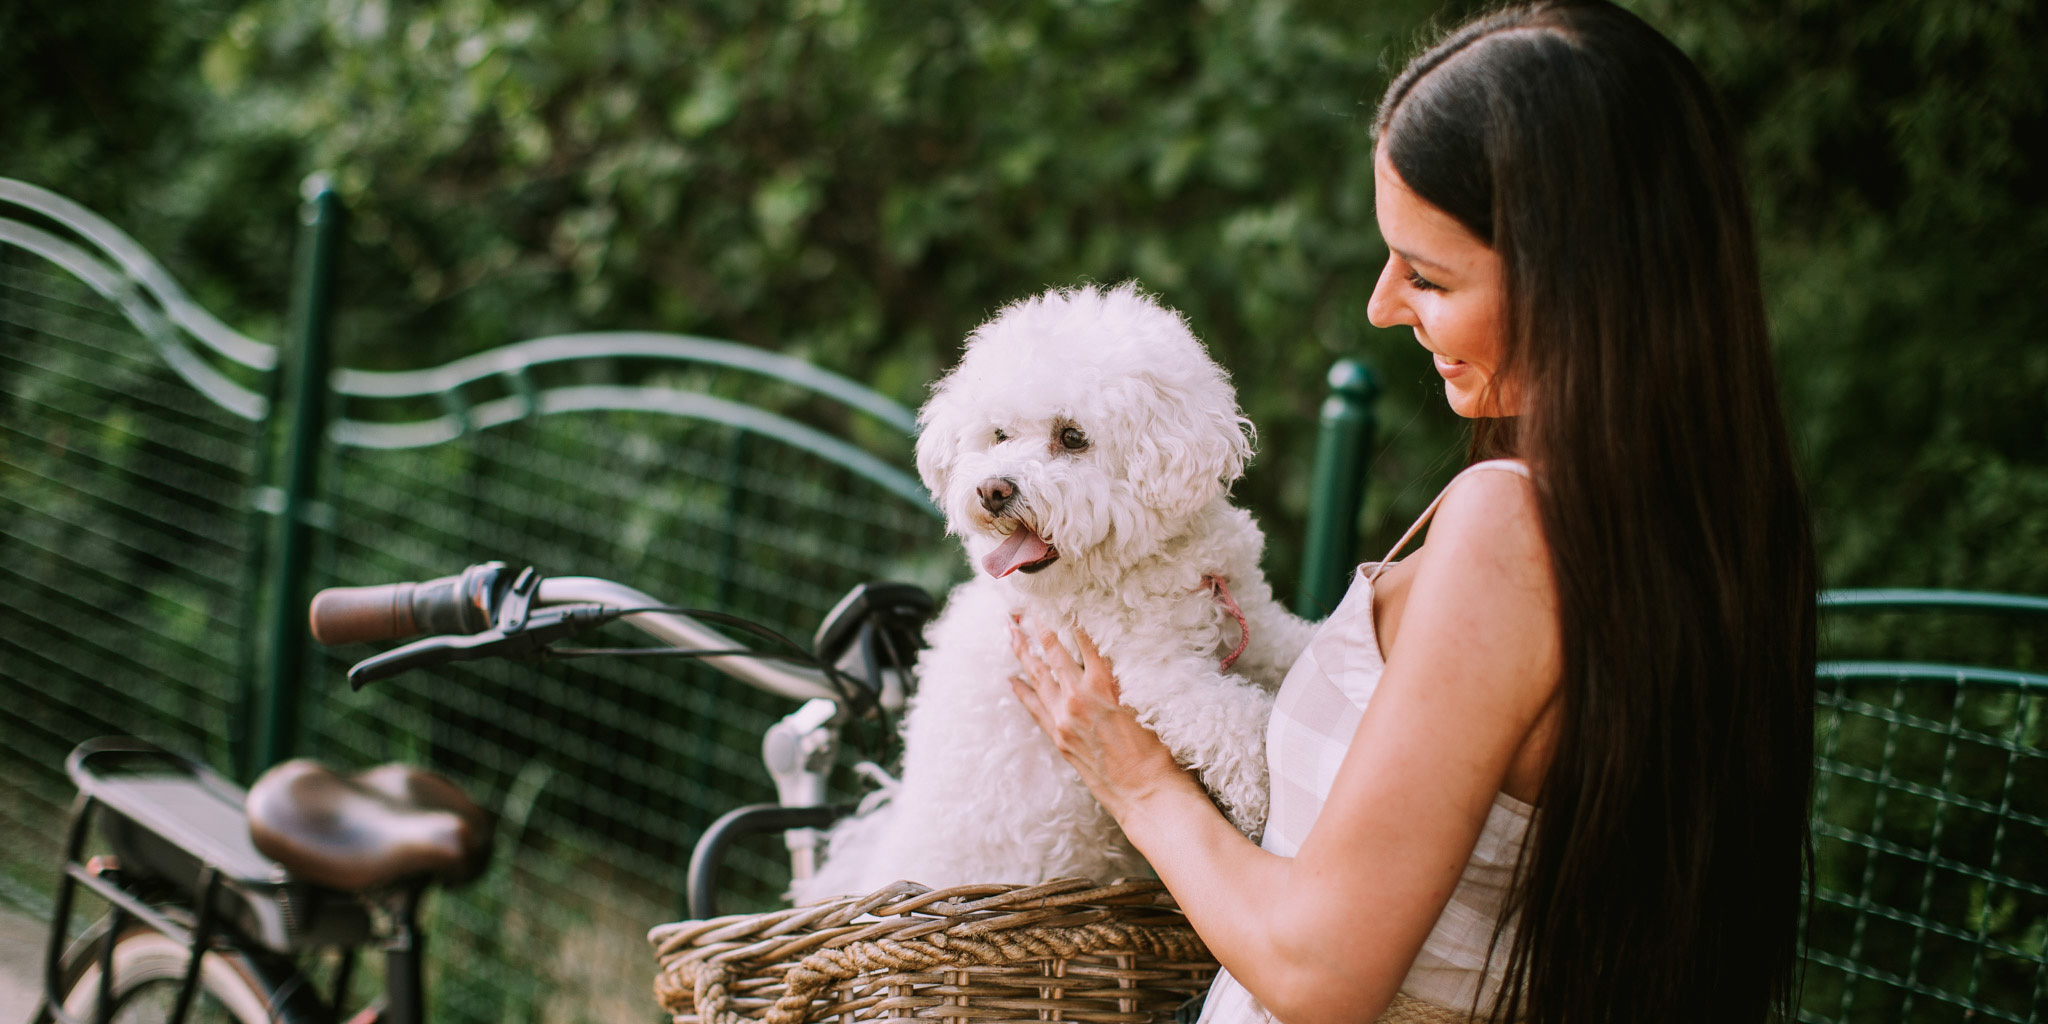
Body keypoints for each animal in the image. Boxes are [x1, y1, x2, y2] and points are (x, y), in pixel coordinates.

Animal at [790, 282, 1318, 905]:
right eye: (998, 435)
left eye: (1072, 437)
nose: (992, 489)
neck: (1142, 563)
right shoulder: (1154, 675)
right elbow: (1240, 723)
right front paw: (1261, 800)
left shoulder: (1255, 622)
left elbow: (1296, 652)